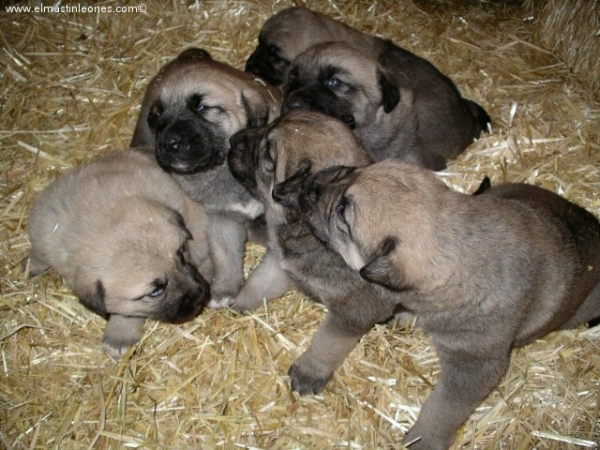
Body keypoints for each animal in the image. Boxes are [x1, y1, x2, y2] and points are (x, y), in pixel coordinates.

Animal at [24, 149, 216, 360]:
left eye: (182, 255)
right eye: (155, 292)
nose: (199, 295)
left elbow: (126, 315)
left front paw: (119, 336)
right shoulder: (45, 230)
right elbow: (40, 254)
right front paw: (28, 266)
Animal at [131, 49, 282, 308]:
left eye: (202, 107)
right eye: (158, 117)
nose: (169, 143)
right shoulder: (220, 219)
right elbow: (225, 256)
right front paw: (225, 289)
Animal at [227, 111, 406, 394]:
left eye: (267, 153)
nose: (232, 139)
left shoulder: (351, 314)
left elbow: (326, 344)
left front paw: (307, 372)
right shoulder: (280, 262)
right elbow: (258, 281)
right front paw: (241, 302)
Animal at [302, 160, 600, 448]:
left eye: (342, 210)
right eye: (352, 170)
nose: (309, 183)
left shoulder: (472, 366)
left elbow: (443, 409)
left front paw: (423, 439)